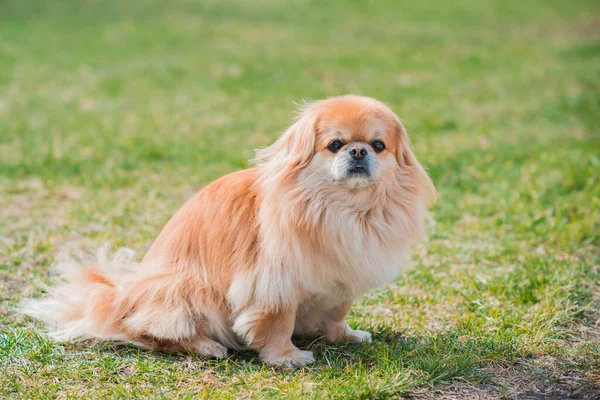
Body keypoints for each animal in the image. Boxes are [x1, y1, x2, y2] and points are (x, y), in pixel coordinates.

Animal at [23, 95, 436, 368]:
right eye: (335, 145)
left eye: (378, 146)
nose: (358, 152)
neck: (343, 210)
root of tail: (120, 298)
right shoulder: (274, 282)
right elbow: (278, 322)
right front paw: (286, 356)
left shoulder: (342, 275)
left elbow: (336, 311)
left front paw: (344, 335)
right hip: (187, 289)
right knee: (148, 333)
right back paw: (207, 346)